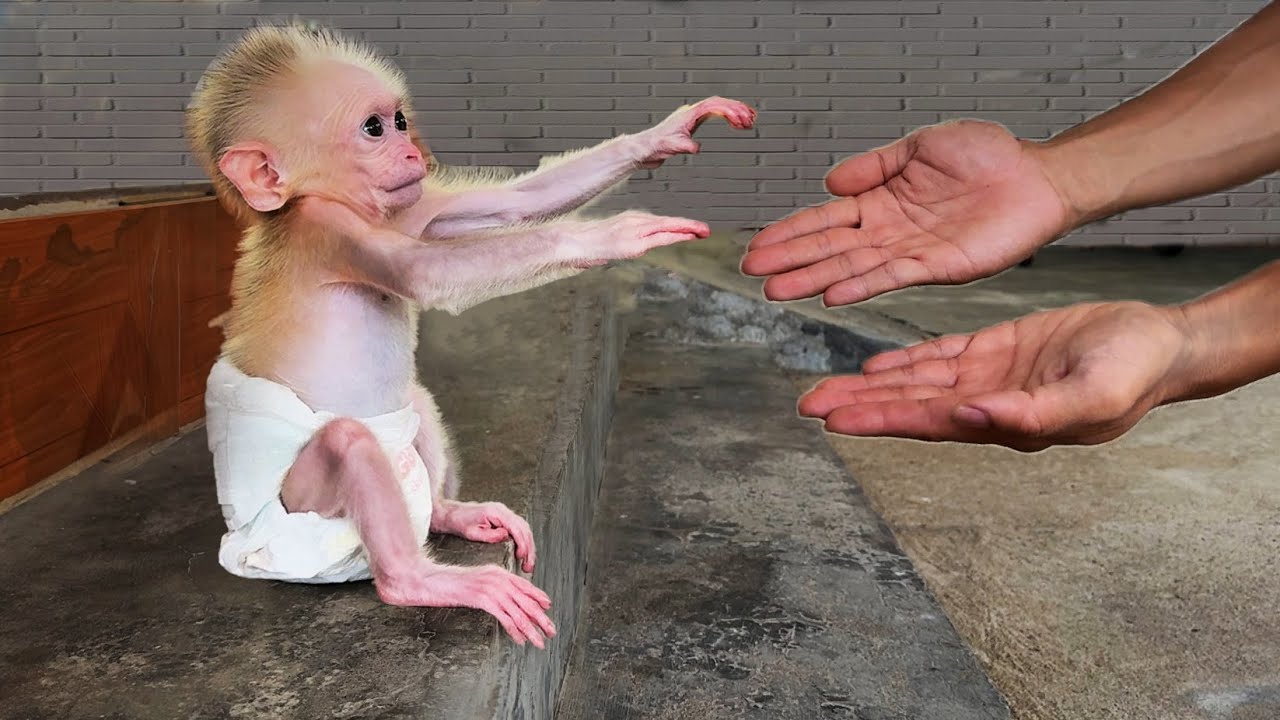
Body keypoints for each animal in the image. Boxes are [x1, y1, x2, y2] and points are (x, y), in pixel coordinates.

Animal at [185, 20, 756, 649]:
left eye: (399, 120)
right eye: (373, 129)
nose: (412, 151)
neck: (334, 203)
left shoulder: (409, 208)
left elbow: (510, 205)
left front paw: (665, 134)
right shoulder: (325, 232)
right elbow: (426, 272)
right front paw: (610, 236)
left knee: (413, 403)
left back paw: (444, 513)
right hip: (289, 533)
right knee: (348, 441)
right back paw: (415, 579)